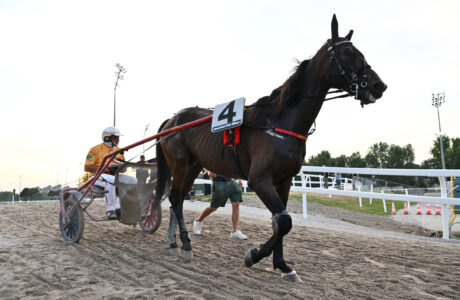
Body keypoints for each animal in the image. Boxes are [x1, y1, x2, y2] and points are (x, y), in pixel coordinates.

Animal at [155, 15, 388, 282]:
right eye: (348, 51)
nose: (379, 85)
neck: (278, 122)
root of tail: (172, 120)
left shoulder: (284, 180)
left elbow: (280, 221)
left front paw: (283, 265)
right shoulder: (259, 179)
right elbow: (284, 221)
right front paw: (254, 255)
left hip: (193, 167)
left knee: (177, 199)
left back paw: (173, 242)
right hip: (180, 164)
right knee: (175, 198)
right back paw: (184, 243)